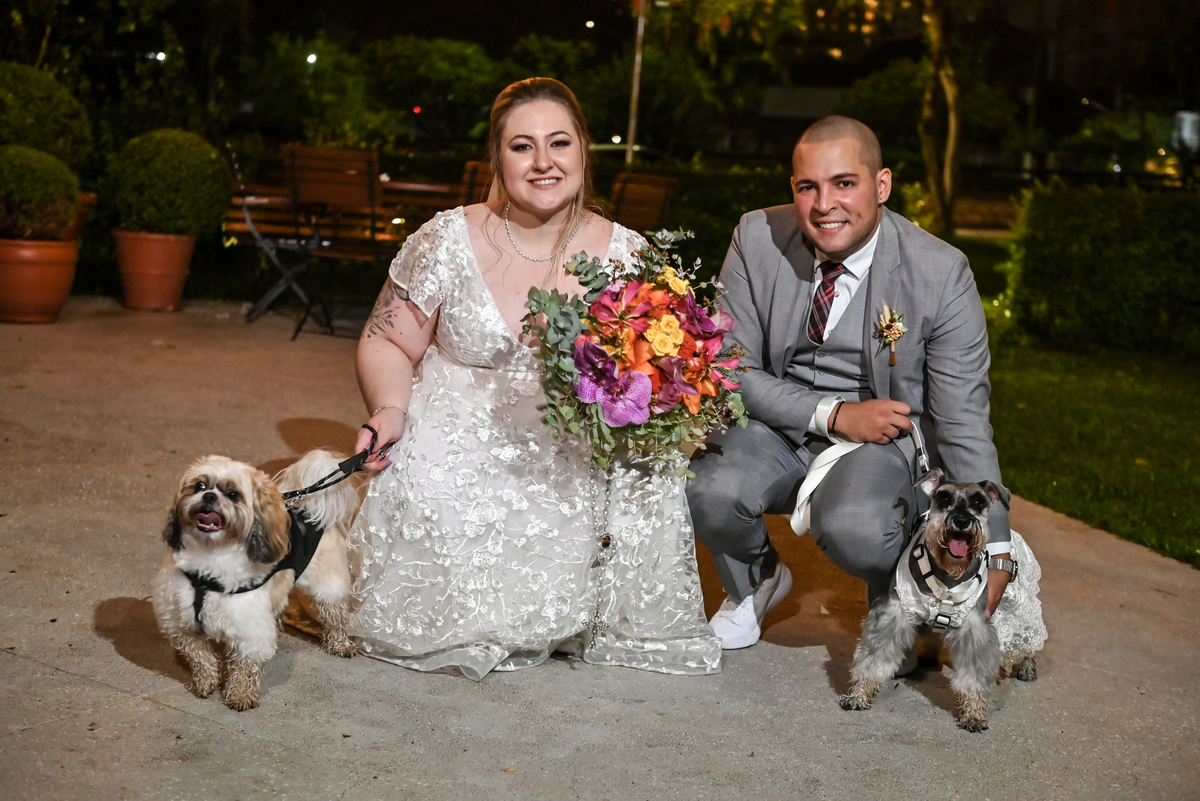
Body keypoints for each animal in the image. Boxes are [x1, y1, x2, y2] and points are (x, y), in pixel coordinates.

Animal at [152, 450, 360, 710]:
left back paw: (340, 643)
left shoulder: (248, 629)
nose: (209, 496)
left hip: (328, 583)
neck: (210, 557)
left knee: (335, 614)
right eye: (199, 486)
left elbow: (245, 666)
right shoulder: (183, 622)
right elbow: (200, 656)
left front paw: (240, 694)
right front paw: (206, 681)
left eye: (233, 494)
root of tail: (307, 506)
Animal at [839, 468, 1045, 731]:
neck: (948, 571)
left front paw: (974, 714)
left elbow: (973, 676)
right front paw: (858, 695)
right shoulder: (894, 613)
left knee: (1027, 639)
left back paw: (1027, 667)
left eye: (979, 502)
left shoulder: (974, 628)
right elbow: (873, 659)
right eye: (944, 498)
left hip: (1018, 611)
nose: (962, 520)